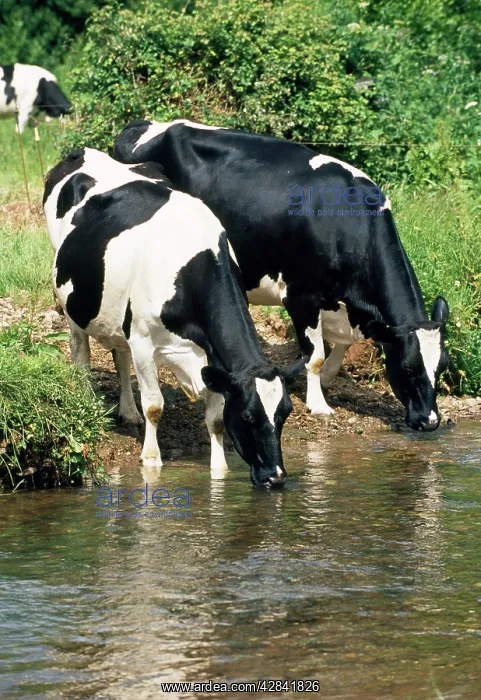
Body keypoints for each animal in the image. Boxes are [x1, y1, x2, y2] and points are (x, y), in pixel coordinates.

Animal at [43, 147, 304, 488]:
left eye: (285, 412)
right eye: (249, 416)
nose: (276, 478)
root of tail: (83, 152)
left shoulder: (213, 359)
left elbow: (216, 420)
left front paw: (219, 471)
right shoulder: (143, 342)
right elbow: (155, 406)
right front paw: (151, 461)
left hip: (119, 314)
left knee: (120, 355)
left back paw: (128, 411)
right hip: (71, 298)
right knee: (80, 352)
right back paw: (89, 399)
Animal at [114, 119, 450, 432]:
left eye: (443, 366)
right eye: (407, 368)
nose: (430, 421)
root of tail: (142, 125)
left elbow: (342, 343)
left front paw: (329, 377)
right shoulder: (301, 296)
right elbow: (314, 355)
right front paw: (319, 404)